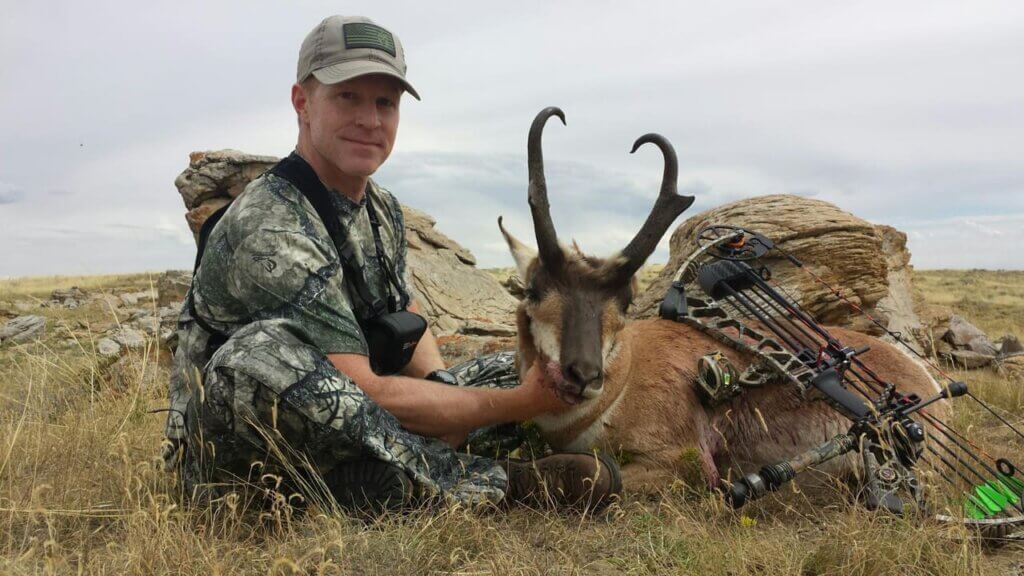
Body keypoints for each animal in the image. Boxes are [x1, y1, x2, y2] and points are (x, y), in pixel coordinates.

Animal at [499, 107, 948, 493]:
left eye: (624, 302)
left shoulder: (683, 465)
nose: (584, 375)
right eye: (533, 289)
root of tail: (925, 380)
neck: (626, 373)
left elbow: (586, 473)